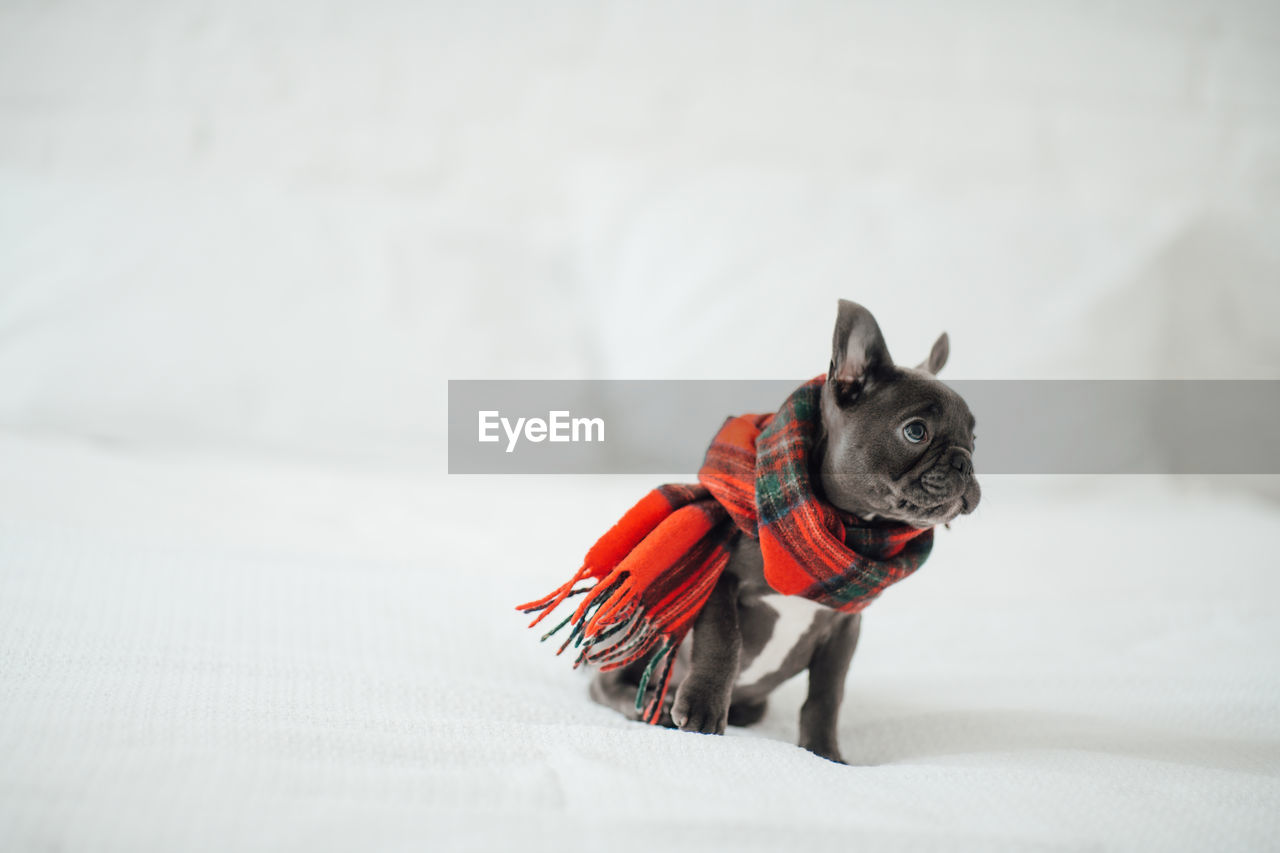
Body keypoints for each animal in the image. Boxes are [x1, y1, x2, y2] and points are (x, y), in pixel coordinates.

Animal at [588, 300, 977, 763]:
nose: (964, 462)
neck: (837, 529)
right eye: (915, 431)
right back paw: (650, 704)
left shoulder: (844, 627)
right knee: (606, 683)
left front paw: (823, 752)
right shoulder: (722, 581)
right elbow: (723, 641)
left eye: (975, 438)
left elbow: (827, 694)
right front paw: (702, 710)